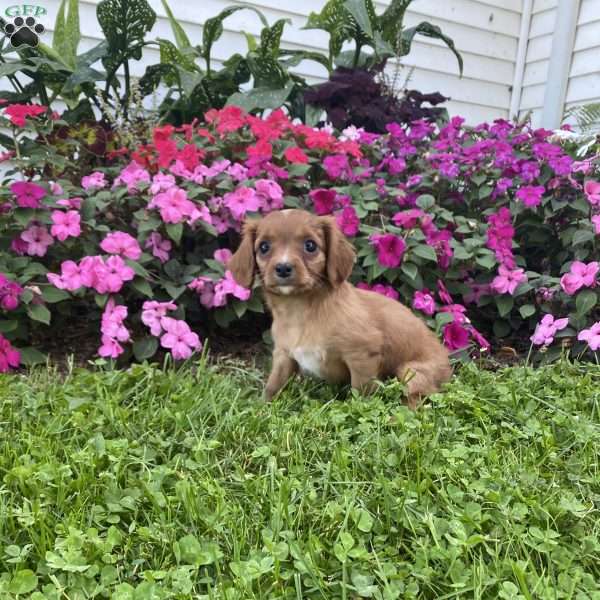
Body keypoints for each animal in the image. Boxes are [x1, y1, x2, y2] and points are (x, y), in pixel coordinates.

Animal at [227, 207, 452, 408]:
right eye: (264, 247)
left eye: (310, 245)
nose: (283, 268)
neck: (301, 309)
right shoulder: (284, 353)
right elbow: (274, 384)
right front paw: (261, 408)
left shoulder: (362, 354)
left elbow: (361, 393)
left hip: (411, 372)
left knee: (415, 398)